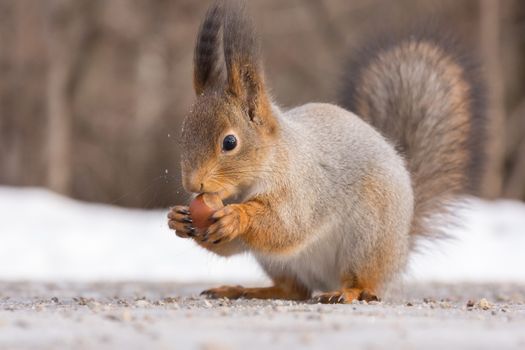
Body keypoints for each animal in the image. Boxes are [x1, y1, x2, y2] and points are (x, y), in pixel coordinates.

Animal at [167, 0, 484, 304]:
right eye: (183, 134)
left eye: (230, 142)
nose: (192, 184)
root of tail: (401, 250)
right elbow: (233, 245)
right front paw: (178, 218)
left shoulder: (304, 187)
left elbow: (287, 225)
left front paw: (237, 216)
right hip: (280, 262)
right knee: (294, 290)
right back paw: (245, 290)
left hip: (368, 236)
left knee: (363, 282)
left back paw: (347, 292)